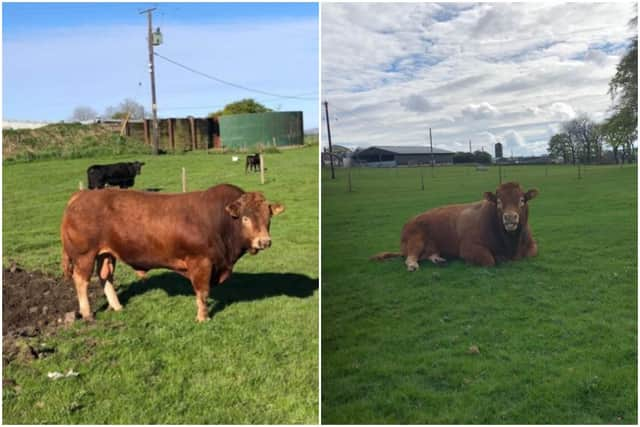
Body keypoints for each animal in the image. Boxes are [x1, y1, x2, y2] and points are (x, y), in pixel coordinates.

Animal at [60, 183, 284, 320]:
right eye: (245, 218)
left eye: (268, 218)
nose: (264, 241)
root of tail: (82, 194)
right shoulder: (200, 262)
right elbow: (202, 291)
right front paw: (203, 317)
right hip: (84, 255)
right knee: (81, 280)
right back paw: (87, 313)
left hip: (106, 253)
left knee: (105, 277)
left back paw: (117, 306)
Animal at [372, 181, 536, 270]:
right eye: (499, 202)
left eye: (522, 200)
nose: (509, 217)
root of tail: (410, 220)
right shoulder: (469, 247)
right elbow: (489, 260)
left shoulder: (532, 246)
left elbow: (531, 253)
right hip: (415, 239)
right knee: (411, 257)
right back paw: (413, 266)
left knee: (429, 254)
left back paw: (439, 260)